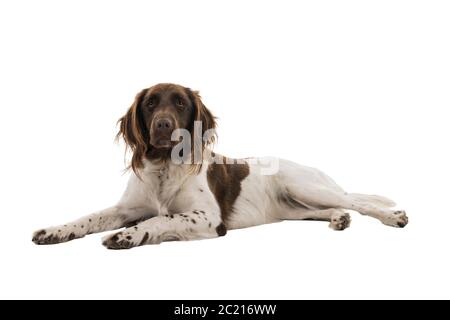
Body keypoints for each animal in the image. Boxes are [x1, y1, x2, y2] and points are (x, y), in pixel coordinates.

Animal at [31, 83, 408, 250]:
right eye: (151, 103)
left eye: (180, 103)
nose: (164, 126)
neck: (164, 168)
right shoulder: (127, 207)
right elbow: (88, 217)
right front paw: (55, 230)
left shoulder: (207, 218)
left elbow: (159, 219)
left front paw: (127, 235)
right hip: (294, 207)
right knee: (330, 209)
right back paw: (338, 219)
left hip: (302, 184)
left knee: (359, 201)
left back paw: (393, 217)